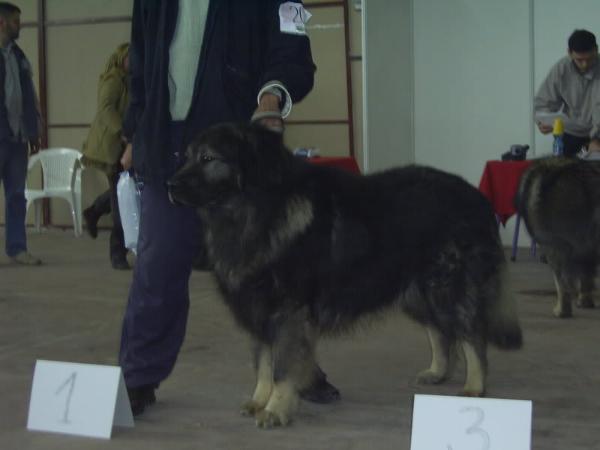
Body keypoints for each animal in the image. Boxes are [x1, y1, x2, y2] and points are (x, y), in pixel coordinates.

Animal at [166, 123, 524, 428]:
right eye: (185, 156)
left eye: (208, 158)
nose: (169, 185)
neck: (256, 208)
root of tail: (478, 198)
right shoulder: (258, 309)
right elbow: (263, 362)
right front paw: (259, 400)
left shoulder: (287, 312)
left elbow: (281, 367)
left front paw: (276, 410)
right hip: (417, 293)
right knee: (441, 331)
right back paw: (437, 372)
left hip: (447, 286)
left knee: (471, 334)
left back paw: (474, 387)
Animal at [516, 157, 600, 316]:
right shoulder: (587, 249)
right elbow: (585, 276)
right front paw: (585, 302)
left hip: (557, 245)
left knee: (562, 281)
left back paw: (562, 310)